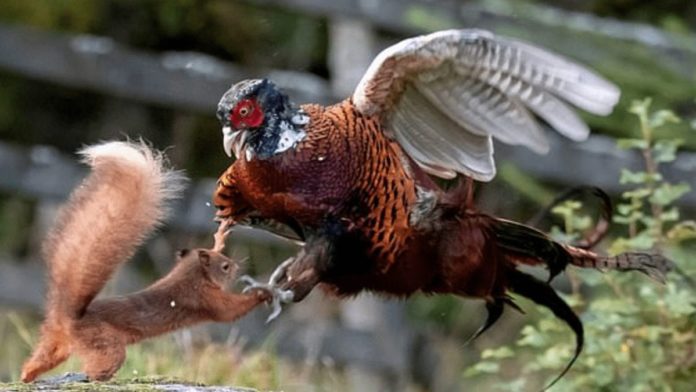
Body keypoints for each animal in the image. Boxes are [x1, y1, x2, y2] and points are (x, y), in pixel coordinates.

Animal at [19, 141, 270, 382]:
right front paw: (262, 294)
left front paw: (221, 236)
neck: (190, 274)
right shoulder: (206, 299)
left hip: (55, 345)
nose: (237, 266)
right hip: (106, 344)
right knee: (97, 366)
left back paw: (26, 376)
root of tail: (69, 319)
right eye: (225, 267)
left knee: (41, 359)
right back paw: (93, 377)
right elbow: (230, 310)